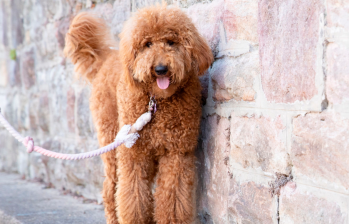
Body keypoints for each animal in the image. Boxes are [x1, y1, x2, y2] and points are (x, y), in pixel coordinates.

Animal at [64, 3, 213, 224]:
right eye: (147, 44)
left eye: (171, 42)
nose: (160, 69)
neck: (158, 101)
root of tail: (105, 59)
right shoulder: (134, 154)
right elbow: (133, 199)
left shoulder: (176, 153)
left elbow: (172, 201)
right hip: (112, 141)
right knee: (110, 190)